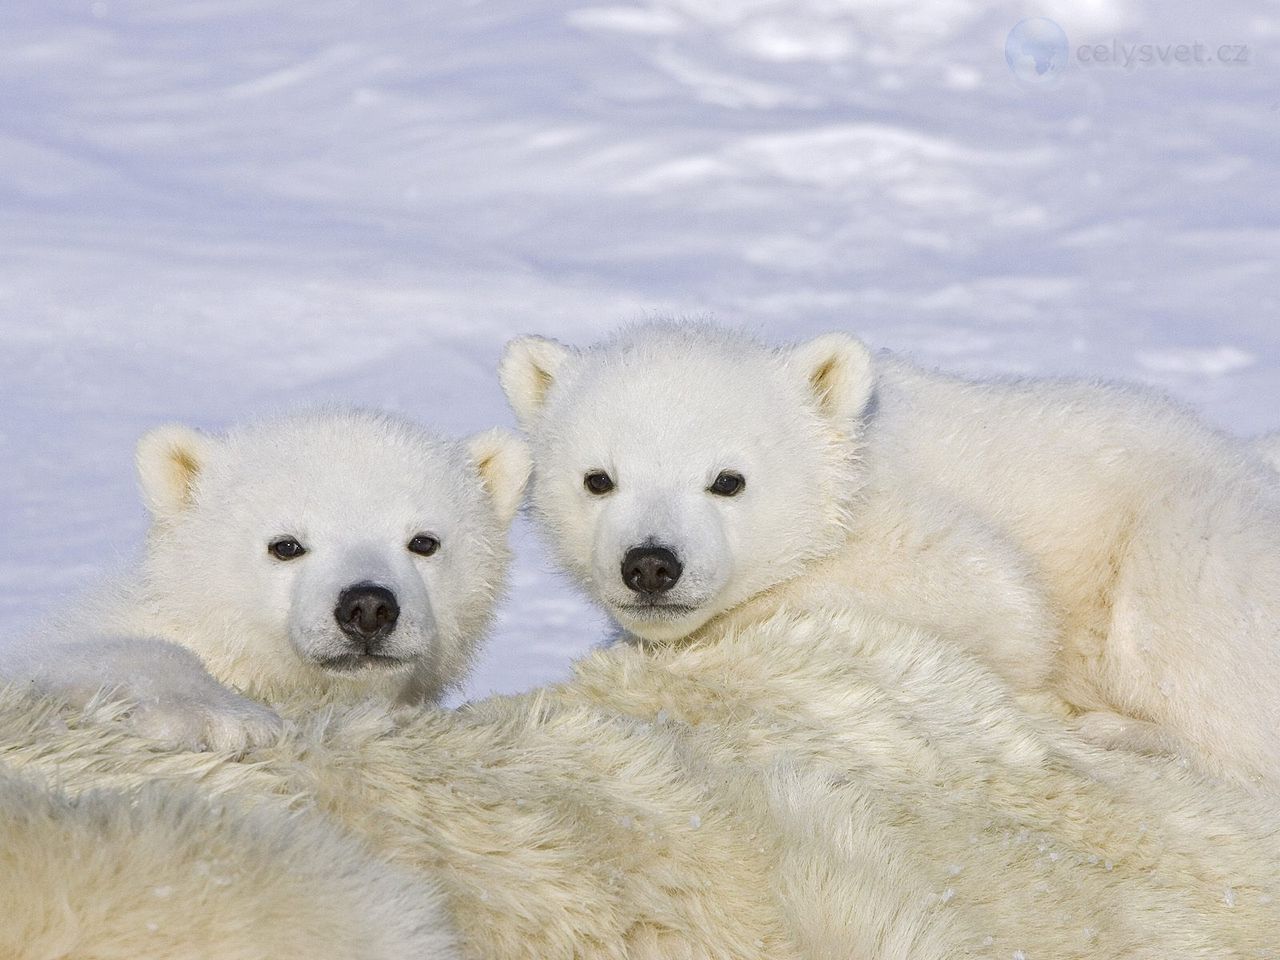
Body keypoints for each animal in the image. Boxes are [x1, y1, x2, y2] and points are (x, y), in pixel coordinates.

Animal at [499, 323, 1280, 791]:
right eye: (598, 478)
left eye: (728, 480)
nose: (651, 565)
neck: (851, 461)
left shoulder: (916, 530)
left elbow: (998, 604)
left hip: (1190, 533)